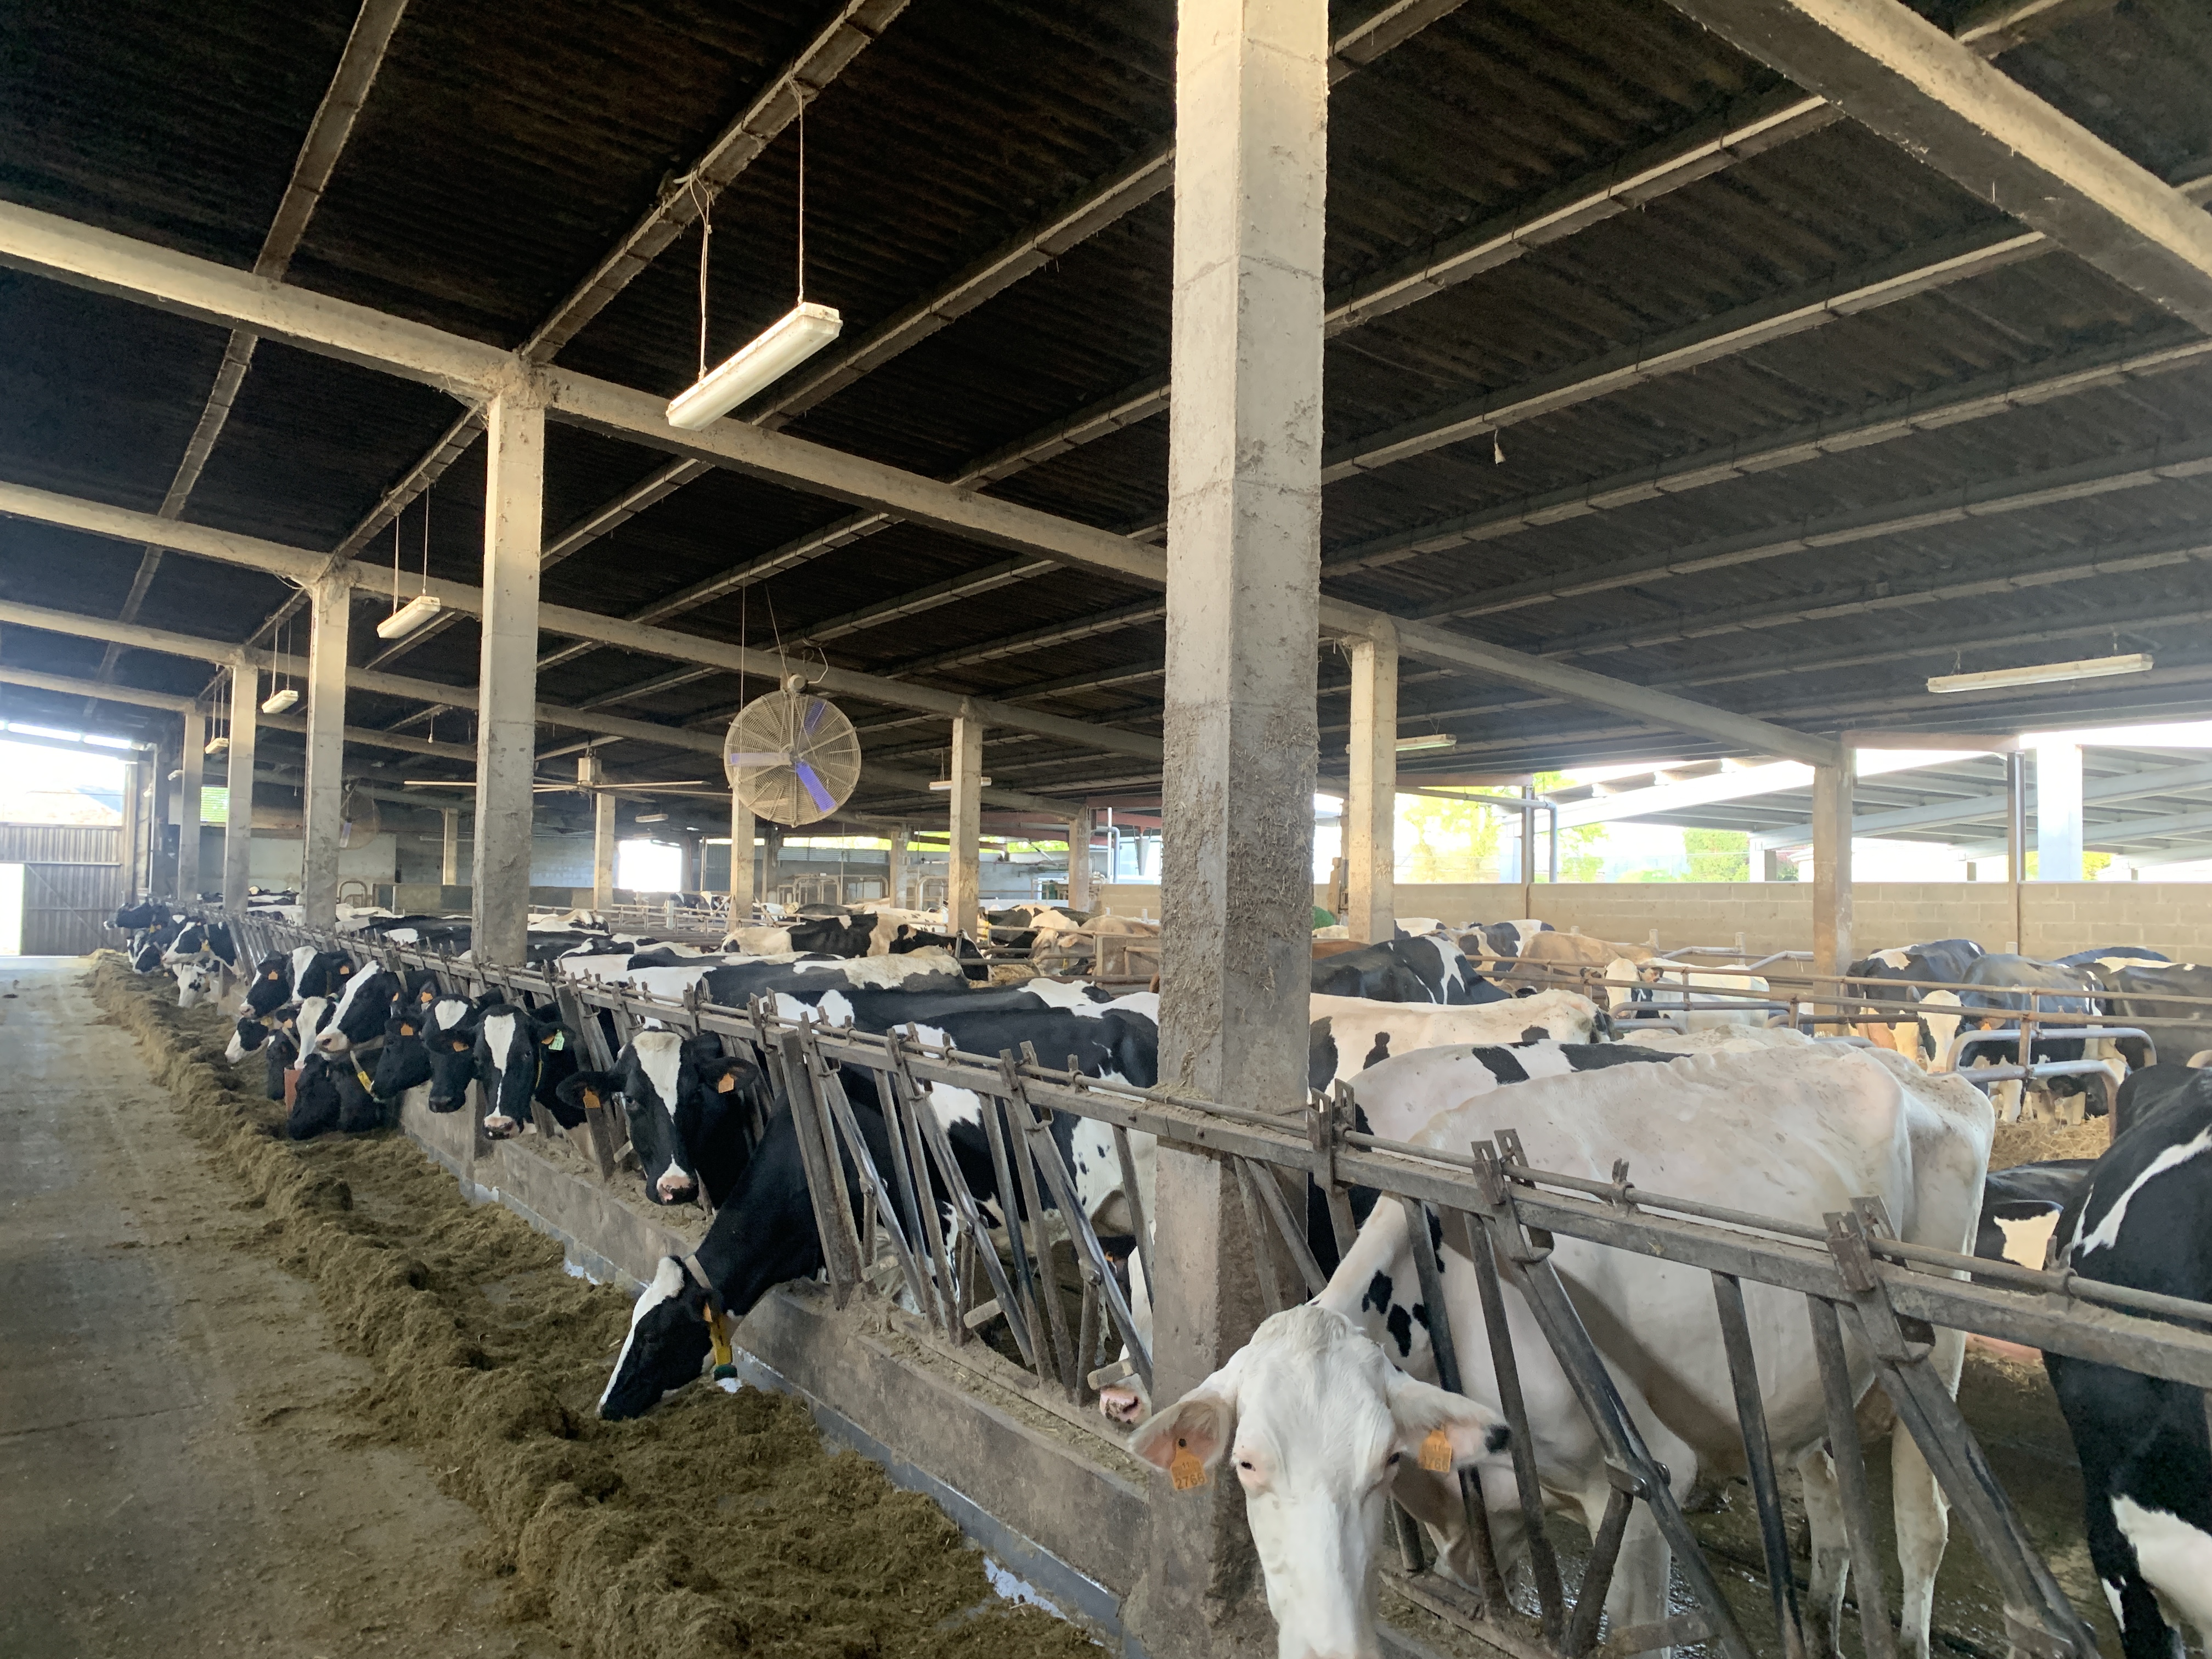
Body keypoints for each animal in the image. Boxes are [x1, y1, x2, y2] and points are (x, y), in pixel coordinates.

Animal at [1133, 1036, 1992, 1659]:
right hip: (1816, 1376)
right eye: (1248, 1465)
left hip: (1932, 1344)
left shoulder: (1648, 1482)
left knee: (1923, 1522)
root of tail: (1907, 1068)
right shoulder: (1492, 1521)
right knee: (1833, 1499)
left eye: (1382, 1463)